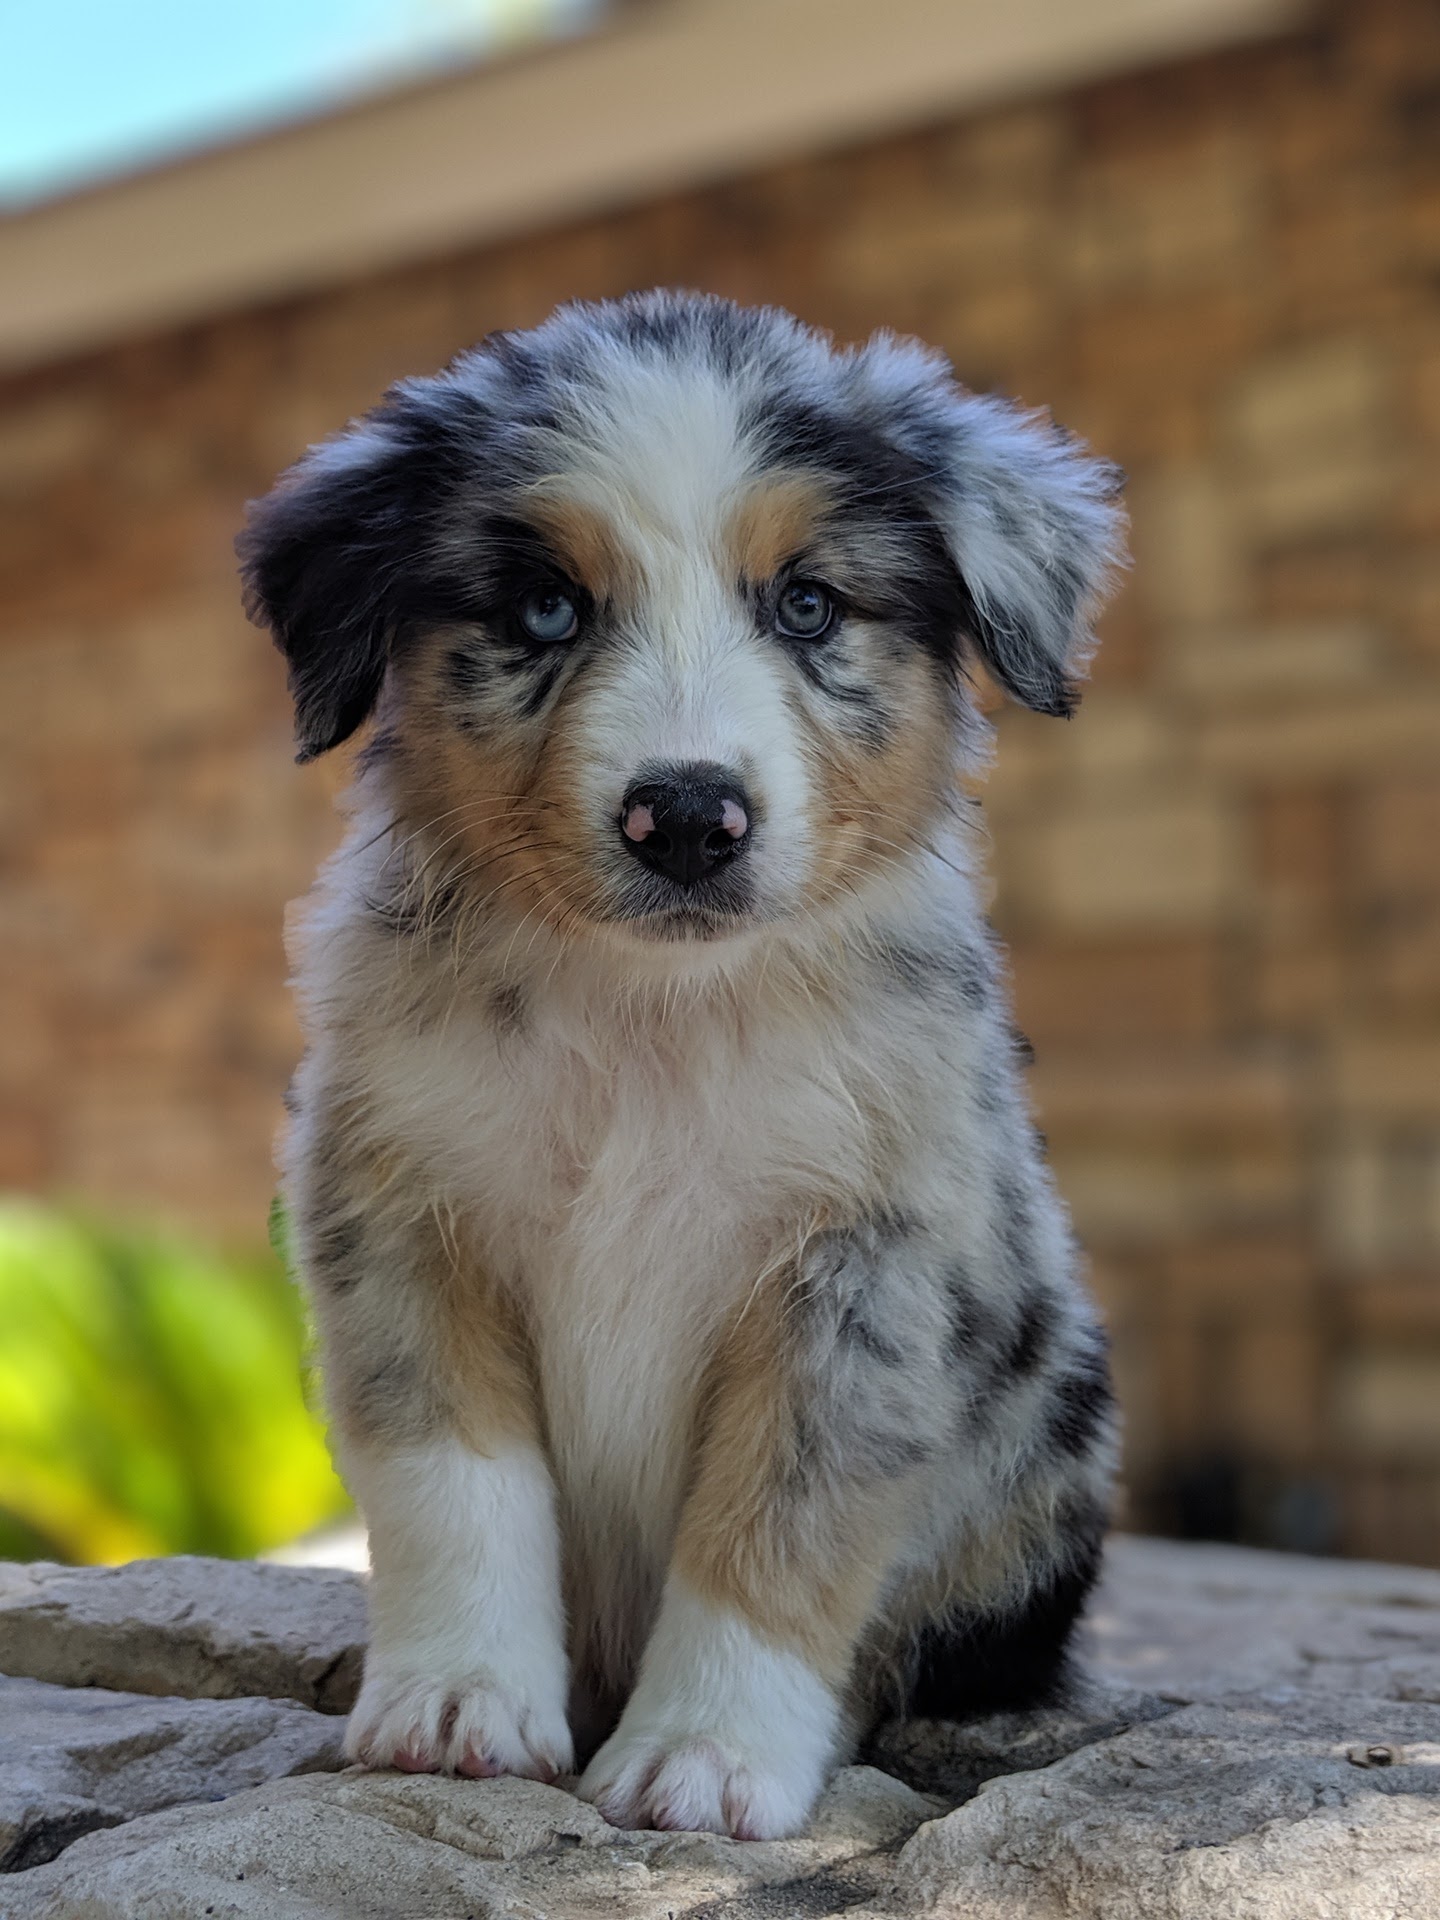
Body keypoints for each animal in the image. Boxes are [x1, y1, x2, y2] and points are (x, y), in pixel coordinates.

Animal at [240, 291, 1128, 1835]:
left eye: (808, 605)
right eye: (547, 608)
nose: (691, 820)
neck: (650, 1016)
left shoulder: (866, 1267)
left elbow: (773, 1523)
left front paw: (705, 1760)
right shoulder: (399, 1214)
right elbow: (457, 1485)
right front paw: (459, 1703)